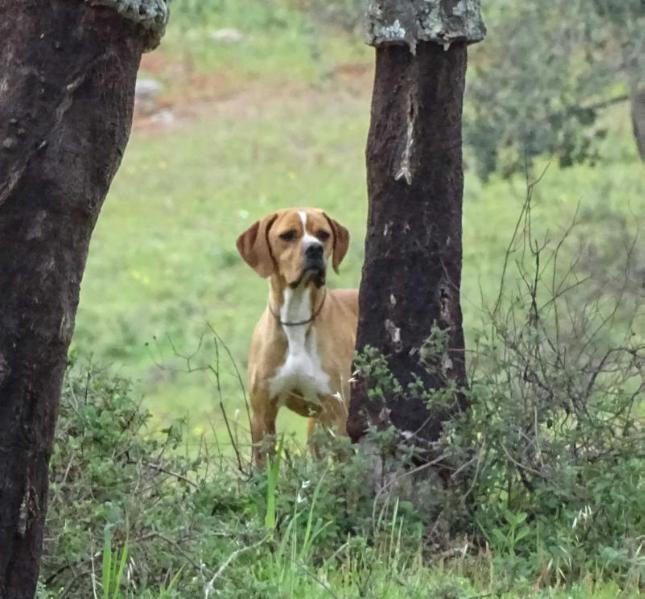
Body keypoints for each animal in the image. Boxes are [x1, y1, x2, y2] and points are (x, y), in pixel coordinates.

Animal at [235, 209, 358, 466]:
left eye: (323, 234)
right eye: (288, 235)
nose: (315, 249)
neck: (295, 317)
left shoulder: (338, 412)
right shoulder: (262, 414)